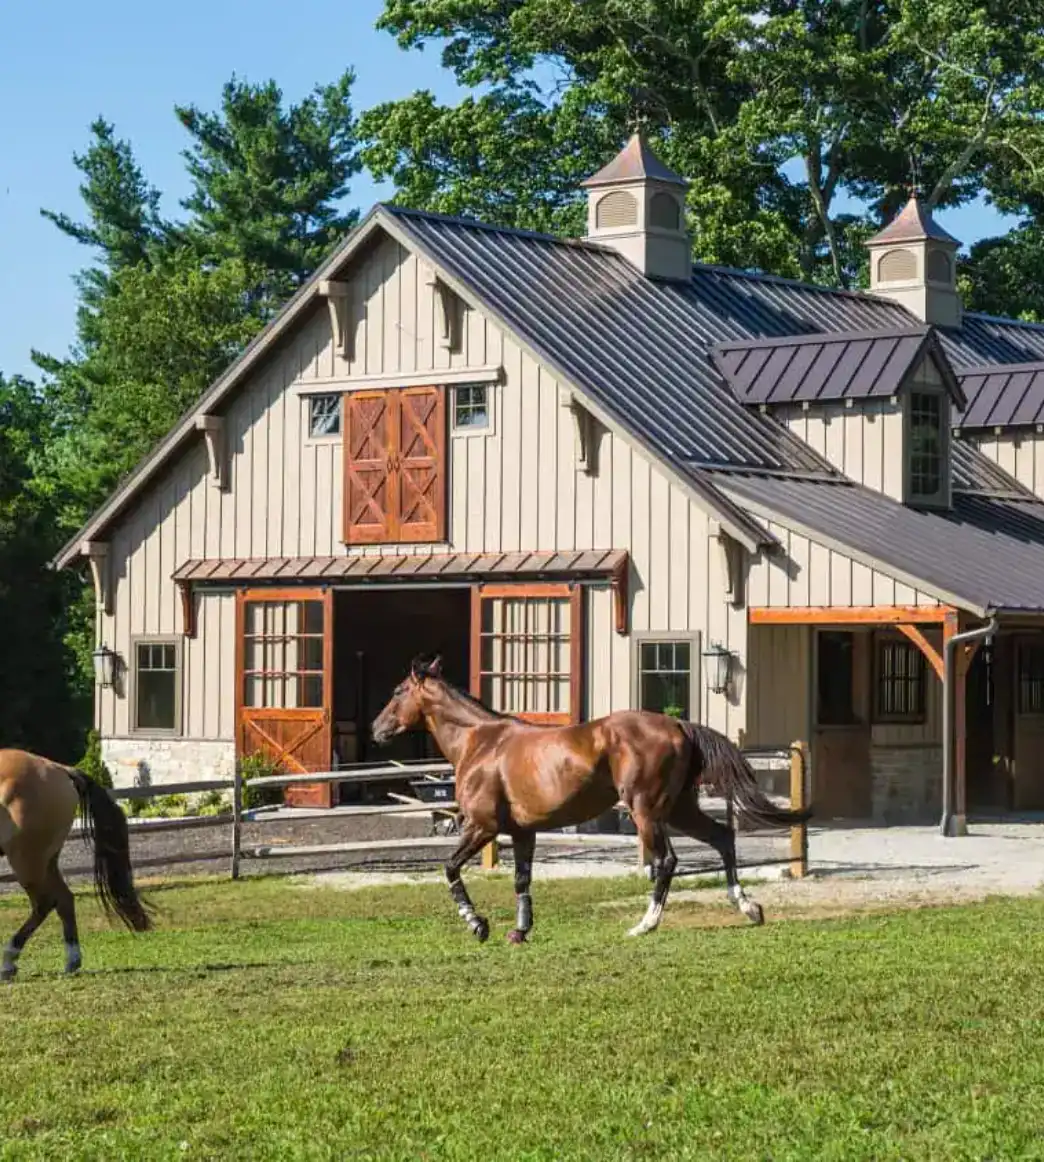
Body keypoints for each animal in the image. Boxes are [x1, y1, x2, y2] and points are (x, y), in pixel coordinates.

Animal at [0, 749, 152, 980]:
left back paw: (9, 962)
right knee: (63, 900)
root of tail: (59, 768)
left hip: (27, 860)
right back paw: (72, 960)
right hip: (46, 861)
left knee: (44, 903)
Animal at [371, 656, 812, 944]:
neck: (481, 743)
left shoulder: (483, 826)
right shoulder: (522, 832)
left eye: (397, 691)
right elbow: (522, 880)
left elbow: (449, 868)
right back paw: (748, 907)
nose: (377, 729)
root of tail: (677, 725)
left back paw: (645, 924)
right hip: (680, 808)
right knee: (722, 837)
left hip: (646, 811)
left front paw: (477, 924)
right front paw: (520, 930)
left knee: (667, 861)